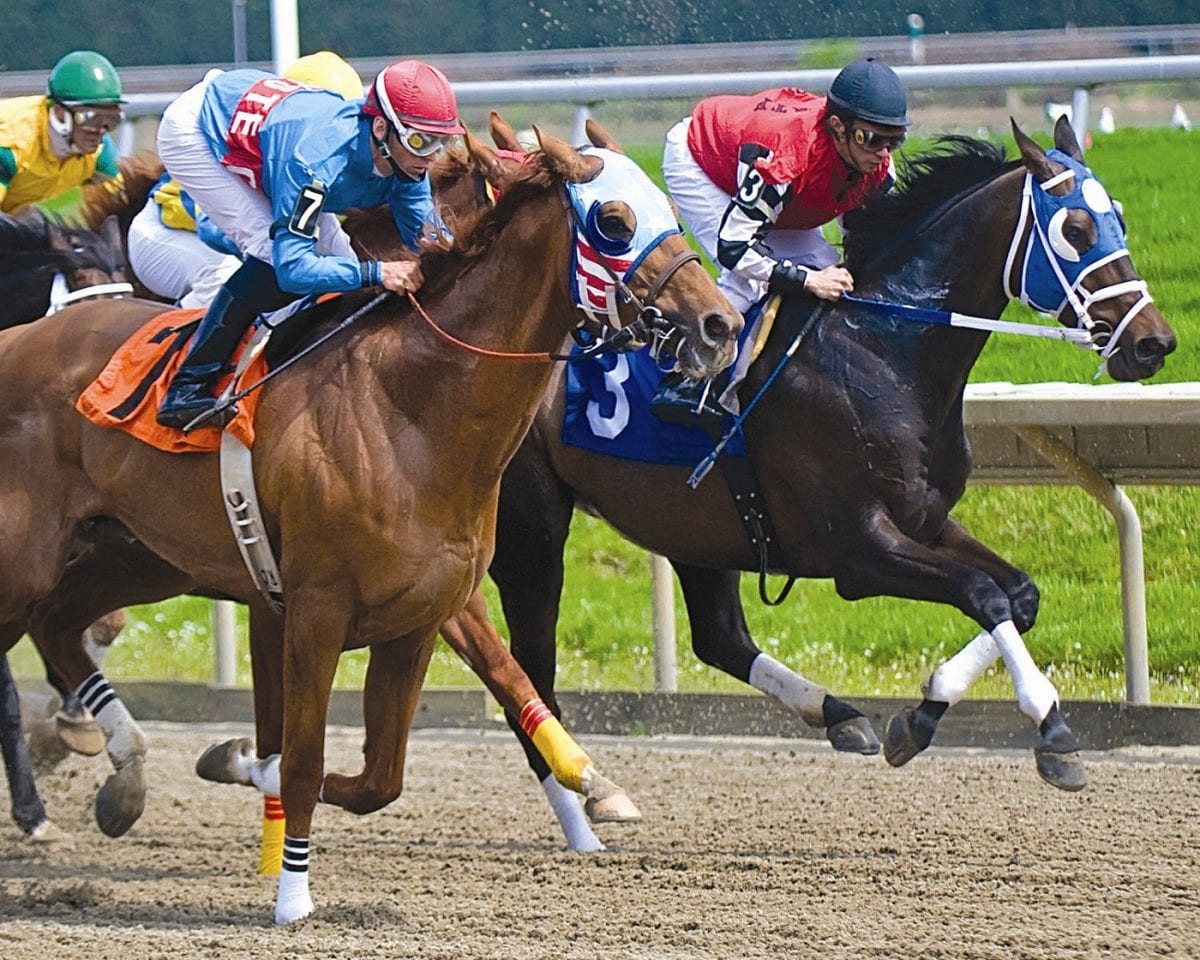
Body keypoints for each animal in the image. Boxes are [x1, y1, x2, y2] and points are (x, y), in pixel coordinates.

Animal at [0, 123, 739, 916]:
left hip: (135, 557)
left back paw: (124, 774)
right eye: (614, 222)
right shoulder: (309, 608)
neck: (409, 406)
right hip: (30, 561)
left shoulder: (421, 612)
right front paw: (288, 892)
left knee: (61, 622)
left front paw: (586, 792)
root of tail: (17, 339)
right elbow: (300, 756)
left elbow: (392, 766)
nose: (720, 324)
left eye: (665, 205)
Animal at [436, 118, 1176, 849]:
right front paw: (1052, 729)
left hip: (691, 523)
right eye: (1074, 229)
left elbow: (1017, 594)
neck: (883, 348)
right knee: (528, 667)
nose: (1153, 342)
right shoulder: (858, 549)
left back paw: (837, 713)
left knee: (718, 637)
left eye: (1119, 219)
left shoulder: (926, 520)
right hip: (533, 529)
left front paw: (921, 714)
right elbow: (982, 594)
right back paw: (586, 801)